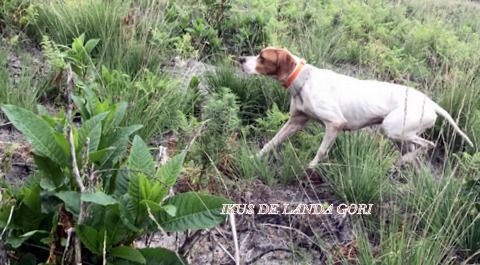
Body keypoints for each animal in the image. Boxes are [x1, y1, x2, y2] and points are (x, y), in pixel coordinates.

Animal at [240, 47, 472, 167]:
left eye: (262, 57)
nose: (241, 58)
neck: (304, 80)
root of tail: (430, 102)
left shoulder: (335, 123)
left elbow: (321, 151)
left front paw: (311, 169)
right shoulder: (296, 121)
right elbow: (271, 142)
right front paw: (254, 158)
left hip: (392, 128)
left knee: (428, 144)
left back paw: (402, 161)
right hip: (400, 134)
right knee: (416, 149)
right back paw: (402, 164)